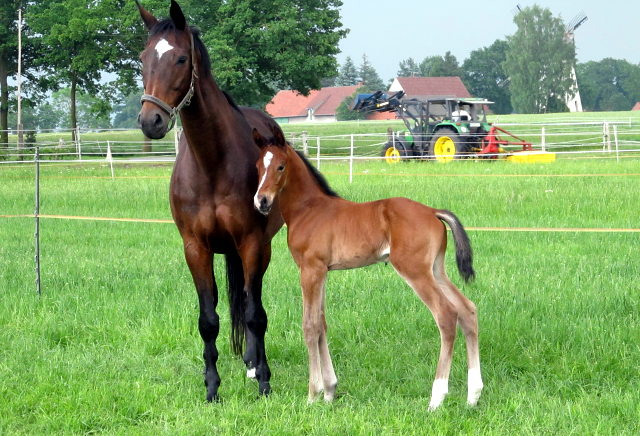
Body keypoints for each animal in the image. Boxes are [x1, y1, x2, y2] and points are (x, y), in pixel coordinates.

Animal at [252, 126, 482, 408]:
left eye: (281, 166)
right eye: (258, 166)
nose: (261, 201)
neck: (308, 209)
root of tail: (432, 211)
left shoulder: (310, 270)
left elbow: (310, 326)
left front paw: (313, 394)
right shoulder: (323, 272)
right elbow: (322, 324)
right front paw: (330, 391)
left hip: (414, 270)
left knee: (447, 315)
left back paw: (436, 398)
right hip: (436, 270)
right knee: (467, 310)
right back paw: (473, 395)